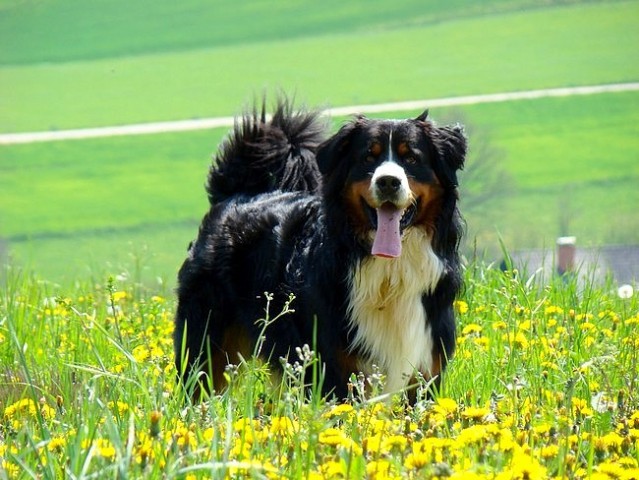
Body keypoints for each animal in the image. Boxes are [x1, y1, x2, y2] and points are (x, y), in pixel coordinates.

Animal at [172, 98, 468, 402]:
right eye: (368, 157)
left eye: (411, 158)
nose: (388, 181)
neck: (390, 271)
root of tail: (236, 194)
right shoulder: (337, 373)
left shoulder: (425, 372)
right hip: (206, 347)